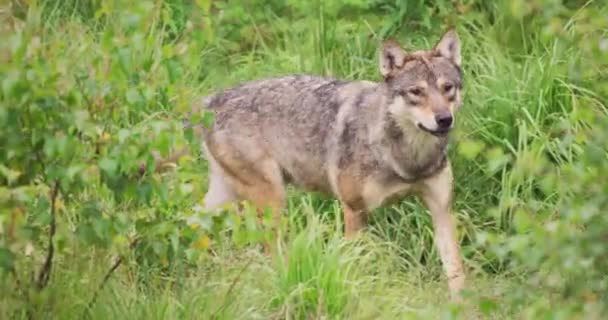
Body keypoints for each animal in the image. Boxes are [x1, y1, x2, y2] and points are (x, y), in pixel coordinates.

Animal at [186, 28, 466, 298]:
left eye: (447, 88)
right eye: (416, 92)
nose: (444, 119)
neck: (408, 160)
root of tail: (211, 101)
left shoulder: (441, 209)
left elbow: (455, 270)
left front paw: (461, 304)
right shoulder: (354, 210)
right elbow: (356, 265)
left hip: (225, 199)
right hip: (272, 201)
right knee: (269, 250)